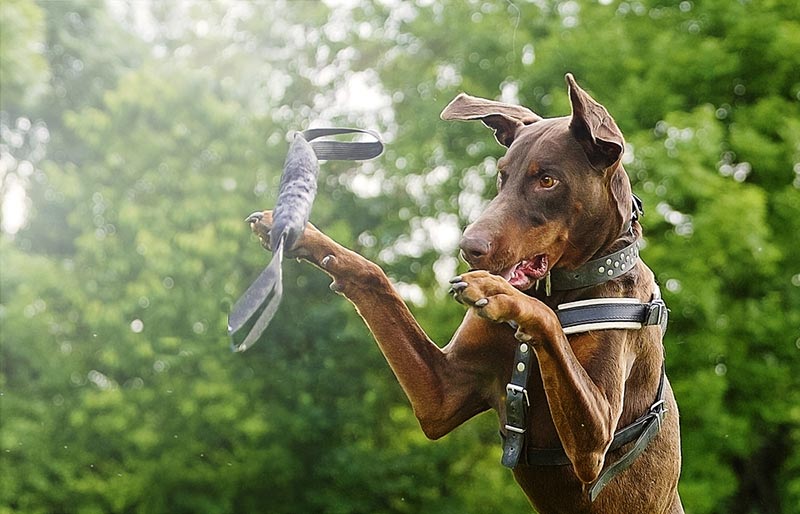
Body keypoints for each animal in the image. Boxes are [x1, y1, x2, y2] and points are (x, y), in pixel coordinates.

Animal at [248, 73, 680, 512]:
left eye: (547, 180)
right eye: (502, 176)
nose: (468, 248)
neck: (555, 290)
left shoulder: (594, 441)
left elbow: (546, 323)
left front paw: (498, 291)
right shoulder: (442, 395)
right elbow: (374, 277)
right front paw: (303, 235)